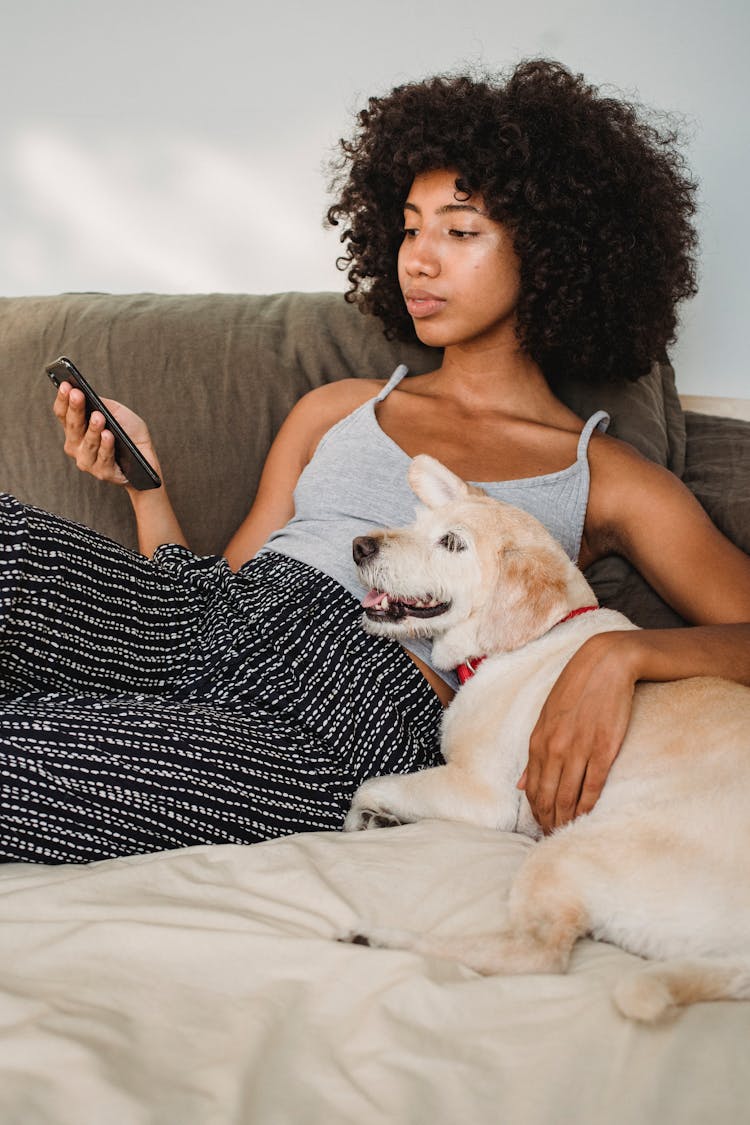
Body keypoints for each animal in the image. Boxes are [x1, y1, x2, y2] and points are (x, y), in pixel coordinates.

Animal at [344, 454, 746, 1021]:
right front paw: (382, 820)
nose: (359, 547)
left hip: (566, 853)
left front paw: (364, 819)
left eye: (452, 543)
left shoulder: (482, 796)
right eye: (417, 523)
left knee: (538, 954)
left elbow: (371, 786)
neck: (524, 640)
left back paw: (382, 939)